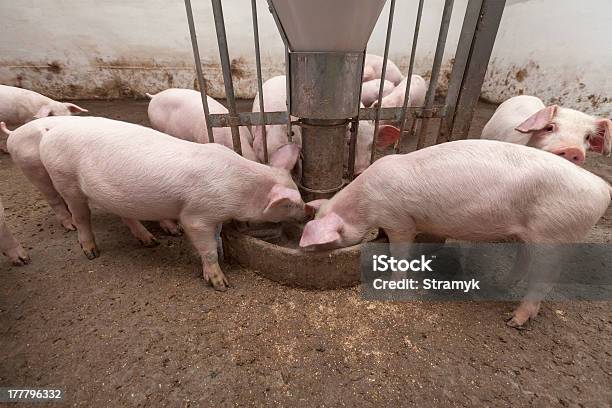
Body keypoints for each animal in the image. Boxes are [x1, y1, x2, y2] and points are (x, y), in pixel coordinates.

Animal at [35, 116, 308, 292]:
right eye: (289, 204)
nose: (308, 212)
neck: (239, 188)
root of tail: (49, 133)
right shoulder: (197, 215)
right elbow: (207, 246)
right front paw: (221, 285)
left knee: (125, 215)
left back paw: (150, 241)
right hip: (65, 181)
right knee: (81, 217)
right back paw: (91, 253)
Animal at [302, 139, 612, 326]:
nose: (304, 249)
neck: (365, 202)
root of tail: (602, 188)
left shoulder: (400, 220)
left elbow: (399, 250)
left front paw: (393, 283)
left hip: (554, 234)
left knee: (544, 279)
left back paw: (514, 321)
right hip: (530, 234)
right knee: (524, 262)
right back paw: (499, 285)